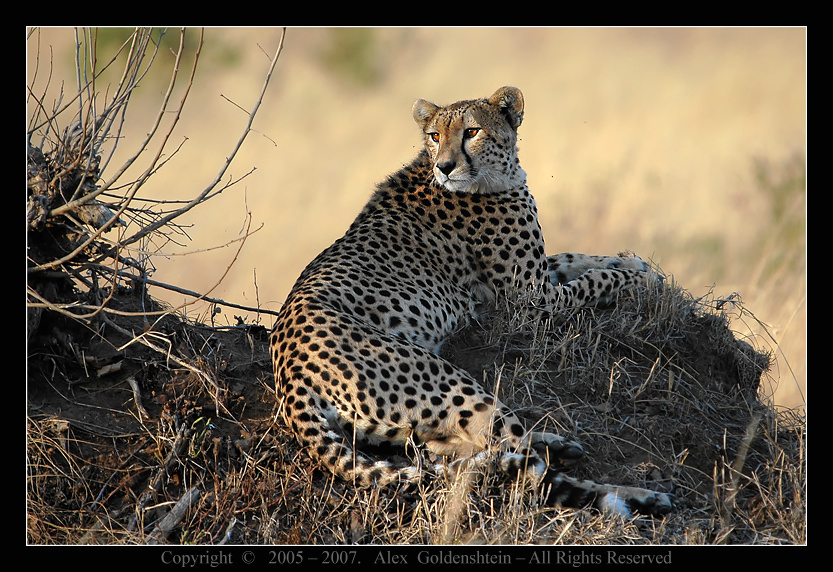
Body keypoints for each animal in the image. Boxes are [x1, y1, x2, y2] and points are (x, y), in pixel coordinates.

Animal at [270, 86, 672, 518]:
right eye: (434, 136)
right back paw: (635, 494)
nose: (445, 167)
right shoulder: (530, 299)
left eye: (471, 131)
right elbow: (593, 280)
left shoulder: (535, 276)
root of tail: (289, 375)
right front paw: (639, 276)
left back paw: (555, 443)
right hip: (449, 385)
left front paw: (631, 262)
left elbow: (576, 258)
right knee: (523, 460)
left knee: (455, 449)